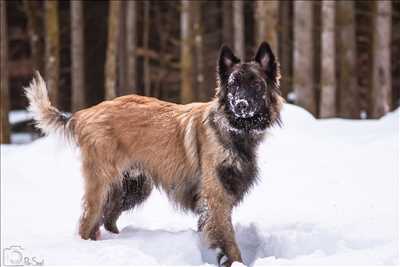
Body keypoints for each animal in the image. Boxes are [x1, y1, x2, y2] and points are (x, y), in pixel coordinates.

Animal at [25, 42, 282, 267]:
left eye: (256, 84)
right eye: (233, 84)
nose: (241, 105)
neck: (233, 131)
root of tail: (82, 114)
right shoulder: (216, 200)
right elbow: (228, 242)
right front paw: (236, 262)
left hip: (132, 188)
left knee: (106, 220)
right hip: (102, 186)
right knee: (87, 223)